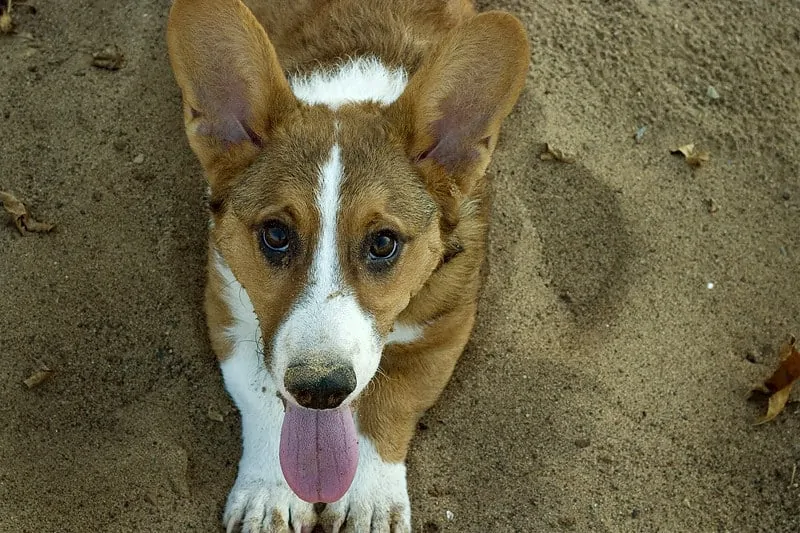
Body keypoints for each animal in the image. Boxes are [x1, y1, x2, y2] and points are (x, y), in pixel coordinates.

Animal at [166, 2, 528, 528]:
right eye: (276, 234)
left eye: (383, 243)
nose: (321, 391)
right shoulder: (227, 303)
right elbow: (261, 391)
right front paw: (268, 494)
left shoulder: (444, 325)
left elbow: (387, 404)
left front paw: (370, 499)